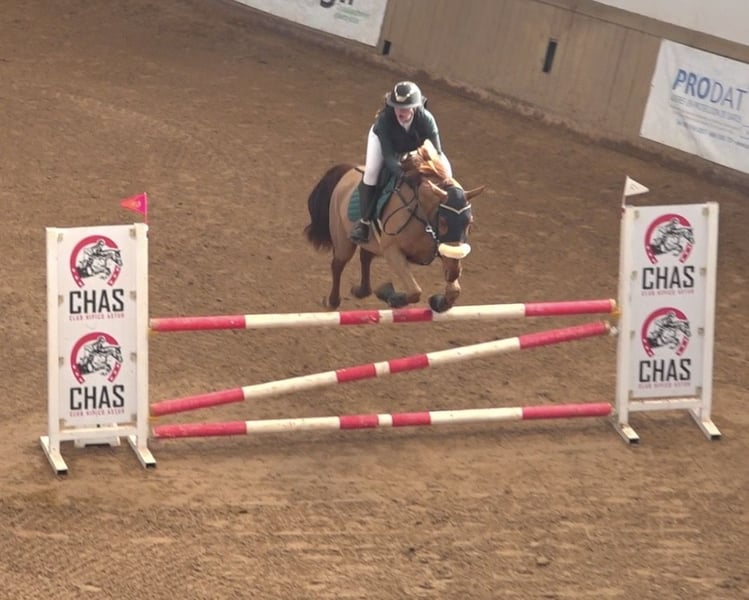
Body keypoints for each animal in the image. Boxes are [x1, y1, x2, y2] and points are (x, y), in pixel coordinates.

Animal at [304, 141, 485, 312]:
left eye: (469, 223)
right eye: (443, 222)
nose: (454, 273)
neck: (422, 214)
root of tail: (348, 172)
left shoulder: (443, 251)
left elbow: (454, 291)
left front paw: (438, 302)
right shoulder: (393, 252)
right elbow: (415, 291)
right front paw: (389, 294)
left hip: (373, 242)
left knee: (365, 256)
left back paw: (362, 291)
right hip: (344, 241)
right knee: (338, 265)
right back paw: (332, 301)